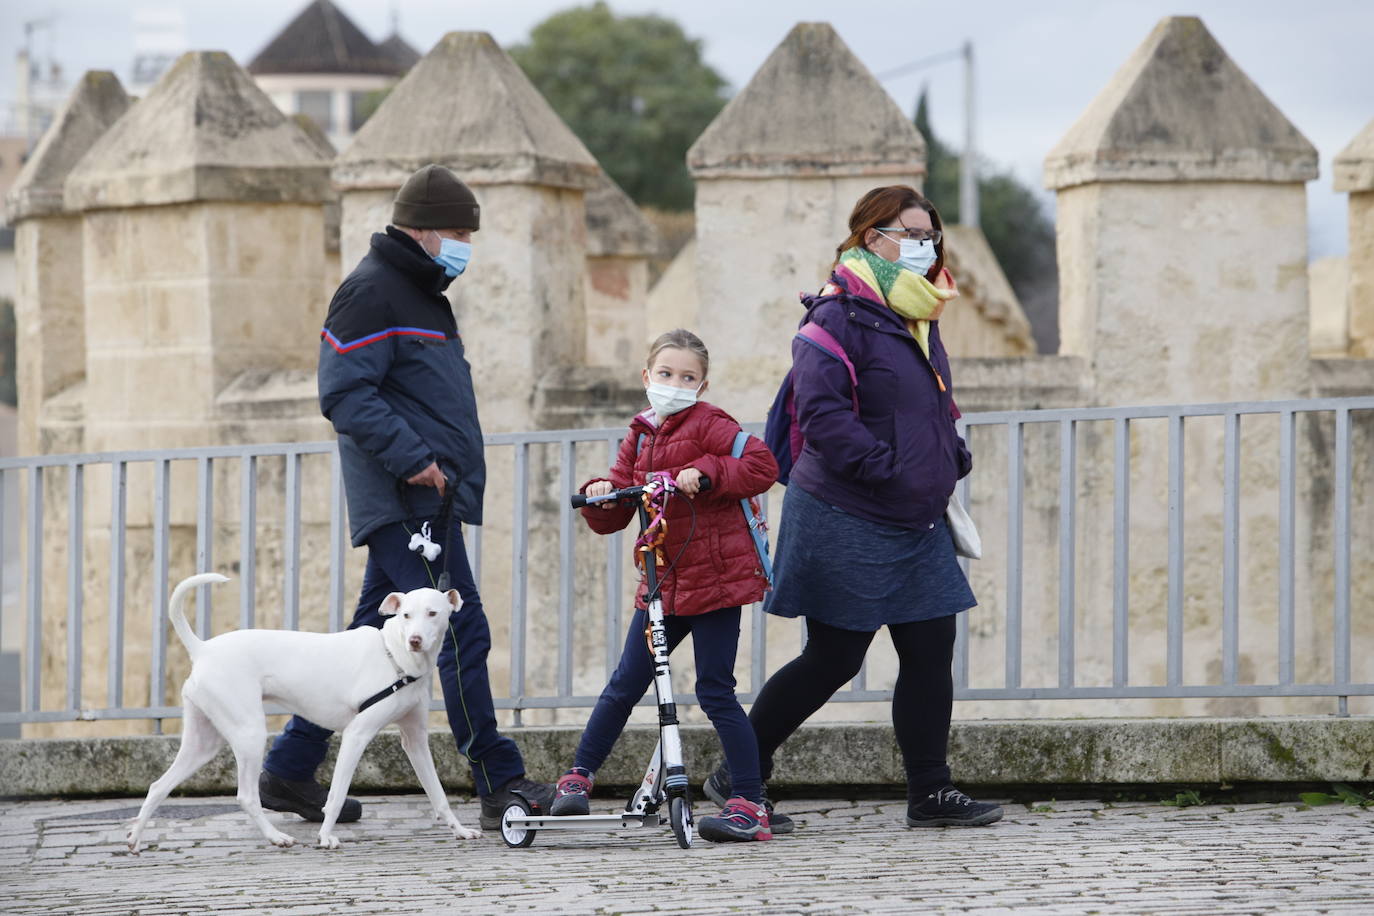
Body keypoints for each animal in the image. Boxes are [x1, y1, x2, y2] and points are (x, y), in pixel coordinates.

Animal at [129, 574, 483, 851]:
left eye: (433, 613)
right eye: (406, 615)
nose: (415, 640)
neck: (394, 657)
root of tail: (202, 649)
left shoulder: (416, 741)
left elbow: (438, 794)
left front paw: (460, 830)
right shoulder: (356, 736)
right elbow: (336, 796)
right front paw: (325, 837)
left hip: (203, 744)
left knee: (158, 786)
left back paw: (135, 838)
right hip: (249, 734)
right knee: (246, 796)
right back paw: (275, 836)